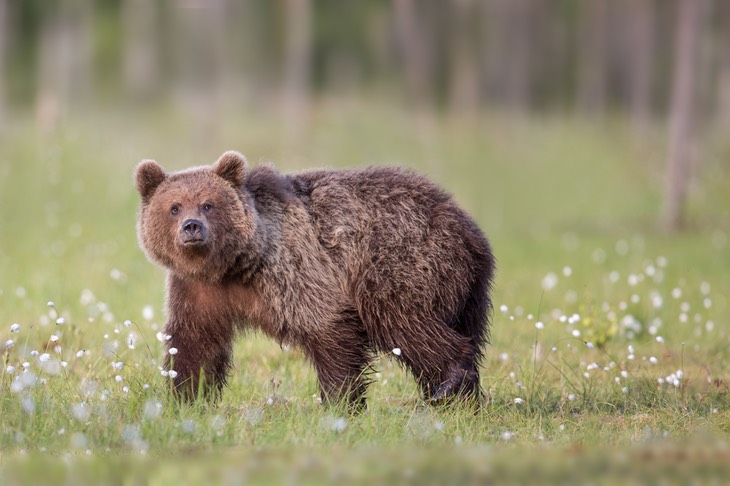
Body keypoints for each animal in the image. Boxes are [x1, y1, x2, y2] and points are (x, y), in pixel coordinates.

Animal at [134, 150, 492, 408]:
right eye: (174, 207)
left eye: (208, 204)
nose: (192, 227)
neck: (233, 266)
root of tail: (468, 227)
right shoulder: (198, 290)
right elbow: (195, 344)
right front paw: (186, 398)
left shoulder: (294, 269)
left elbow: (328, 328)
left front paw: (340, 401)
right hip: (466, 290)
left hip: (399, 263)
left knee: (405, 323)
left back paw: (449, 384)